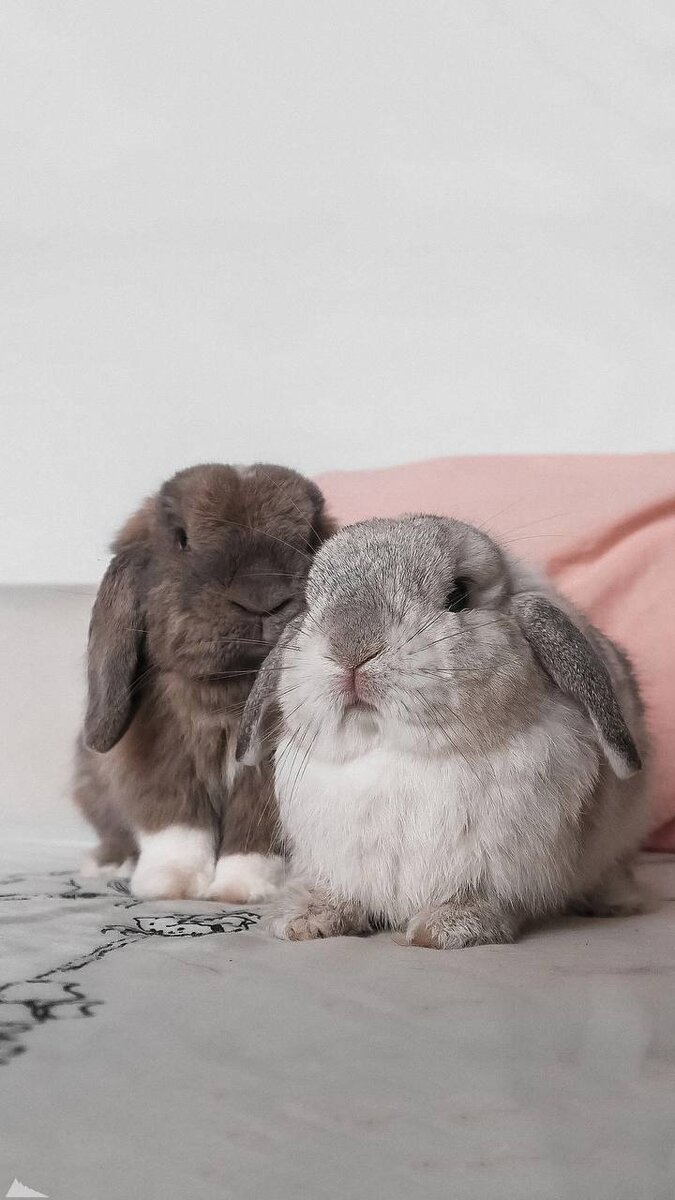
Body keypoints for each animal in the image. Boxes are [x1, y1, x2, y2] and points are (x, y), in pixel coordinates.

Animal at [73, 462, 335, 902]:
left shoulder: (268, 778)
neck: (229, 688)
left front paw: (240, 890)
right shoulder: (162, 765)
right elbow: (176, 828)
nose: (262, 595)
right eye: (182, 539)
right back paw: (110, 864)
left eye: (312, 538)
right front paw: (171, 886)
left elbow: (257, 837)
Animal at [236, 514, 650, 947]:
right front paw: (305, 920)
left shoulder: (497, 866)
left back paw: (616, 902)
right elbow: (336, 891)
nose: (351, 647)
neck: (396, 756)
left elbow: (478, 897)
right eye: (311, 602)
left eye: (459, 594)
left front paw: (446, 929)